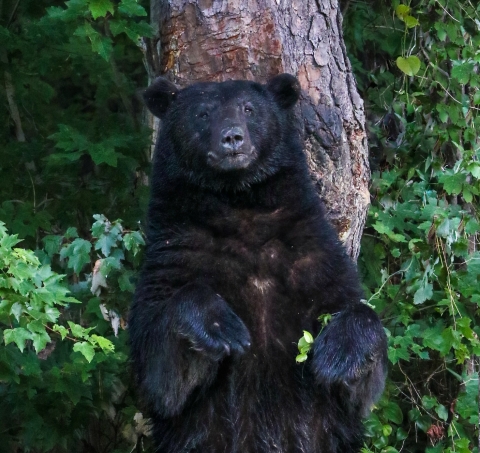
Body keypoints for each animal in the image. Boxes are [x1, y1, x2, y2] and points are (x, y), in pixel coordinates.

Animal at [129, 72, 388, 450]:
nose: (232, 138)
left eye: (249, 109)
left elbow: (362, 372)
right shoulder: (174, 253)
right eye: (202, 114)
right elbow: (161, 373)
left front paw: (339, 353)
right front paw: (221, 326)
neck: (241, 205)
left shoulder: (312, 252)